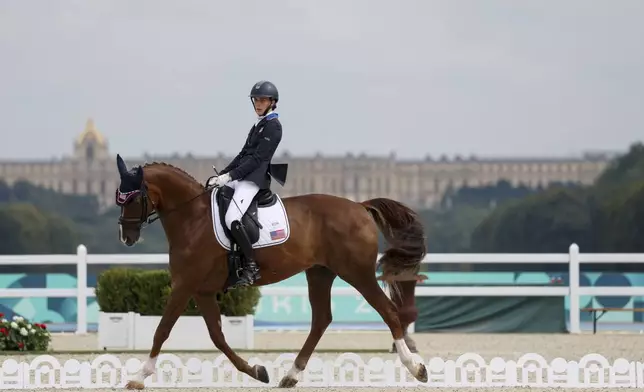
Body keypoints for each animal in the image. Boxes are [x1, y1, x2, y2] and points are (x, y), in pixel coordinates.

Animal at [115, 154, 428, 388]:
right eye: (119, 197)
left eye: (131, 198)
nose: (126, 237)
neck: (193, 218)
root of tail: (359, 206)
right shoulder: (201, 290)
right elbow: (217, 337)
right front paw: (256, 370)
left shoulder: (184, 286)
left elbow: (162, 330)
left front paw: (139, 377)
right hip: (320, 273)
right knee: (321, 319)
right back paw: (291, 375)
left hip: (357, 273)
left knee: (388, 311)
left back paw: (416, 367)